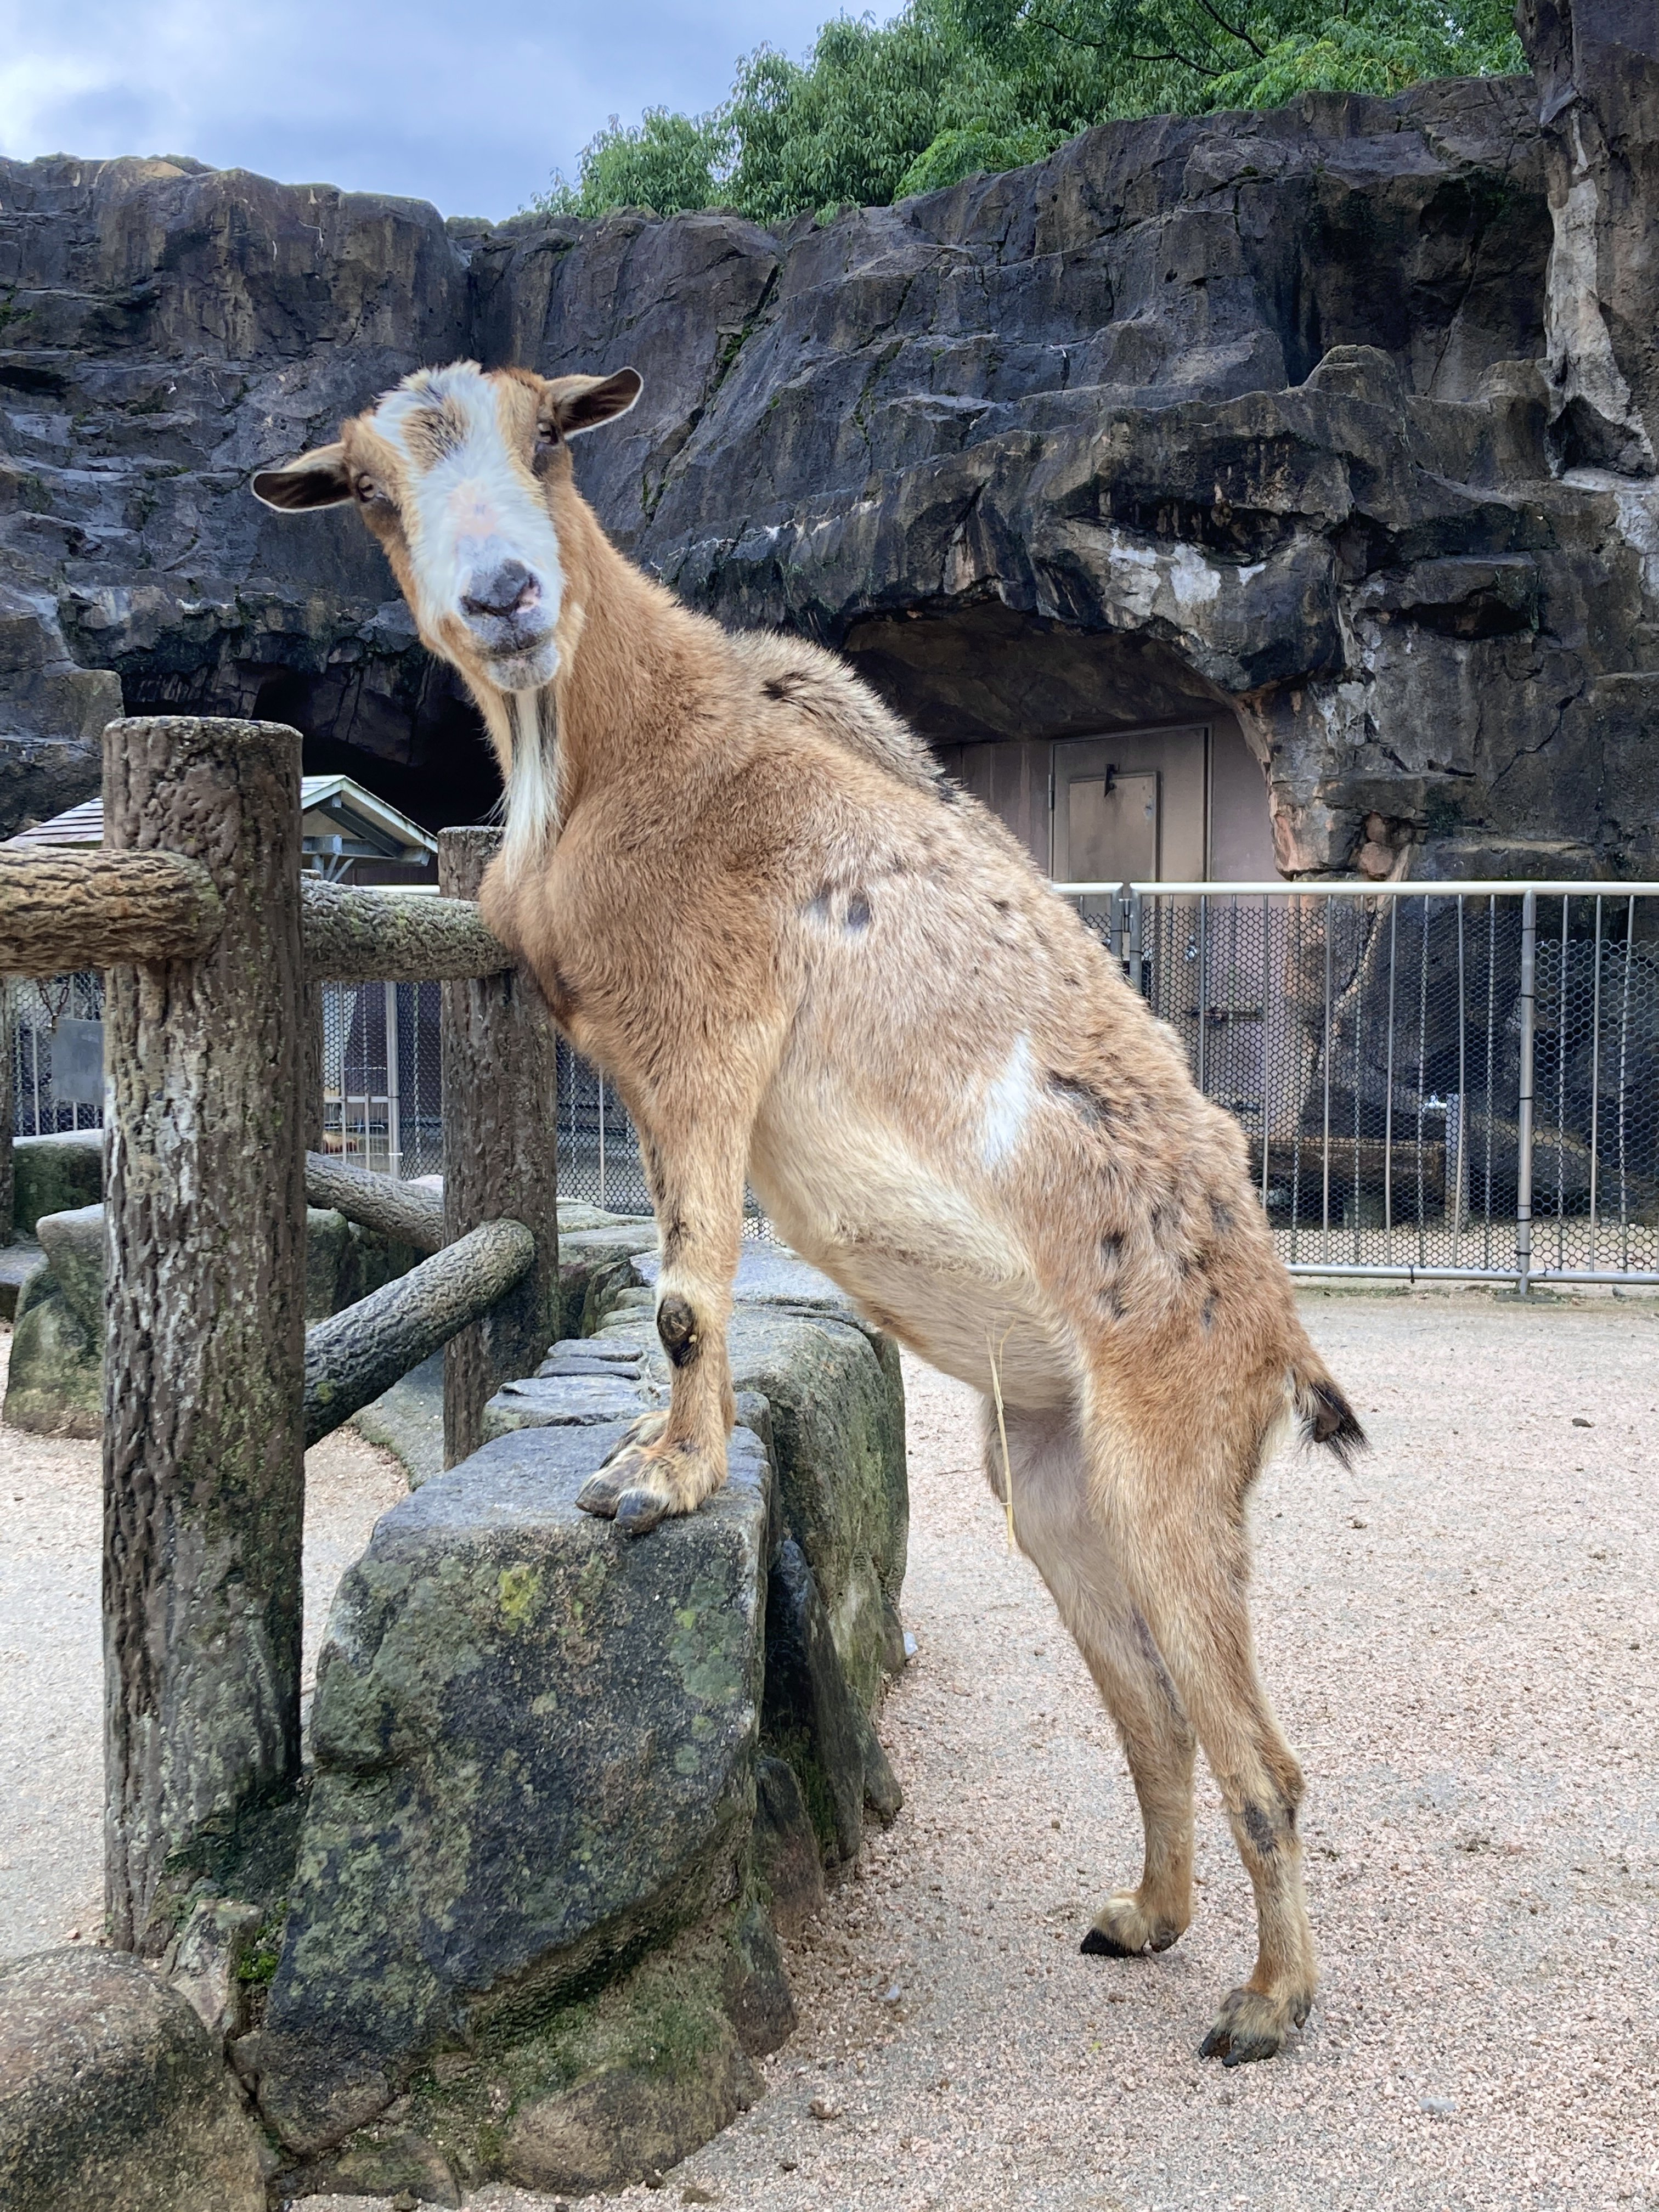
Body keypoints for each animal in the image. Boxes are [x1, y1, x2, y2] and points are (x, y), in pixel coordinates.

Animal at [256, 354, 1362, 2061]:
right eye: (371, 488)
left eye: (551, 437)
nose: (504, 595)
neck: (635, 743)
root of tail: (1276, 1345)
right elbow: (680, 1281)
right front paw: (650, 1458)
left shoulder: (709, 1036)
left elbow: (682, 1289)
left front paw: (660, 1483)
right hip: (1056, 1477)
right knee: (1156, 1716)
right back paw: (1144, 1919)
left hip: (1173, 1474)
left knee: (1263, 1756)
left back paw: (1267, 2004)